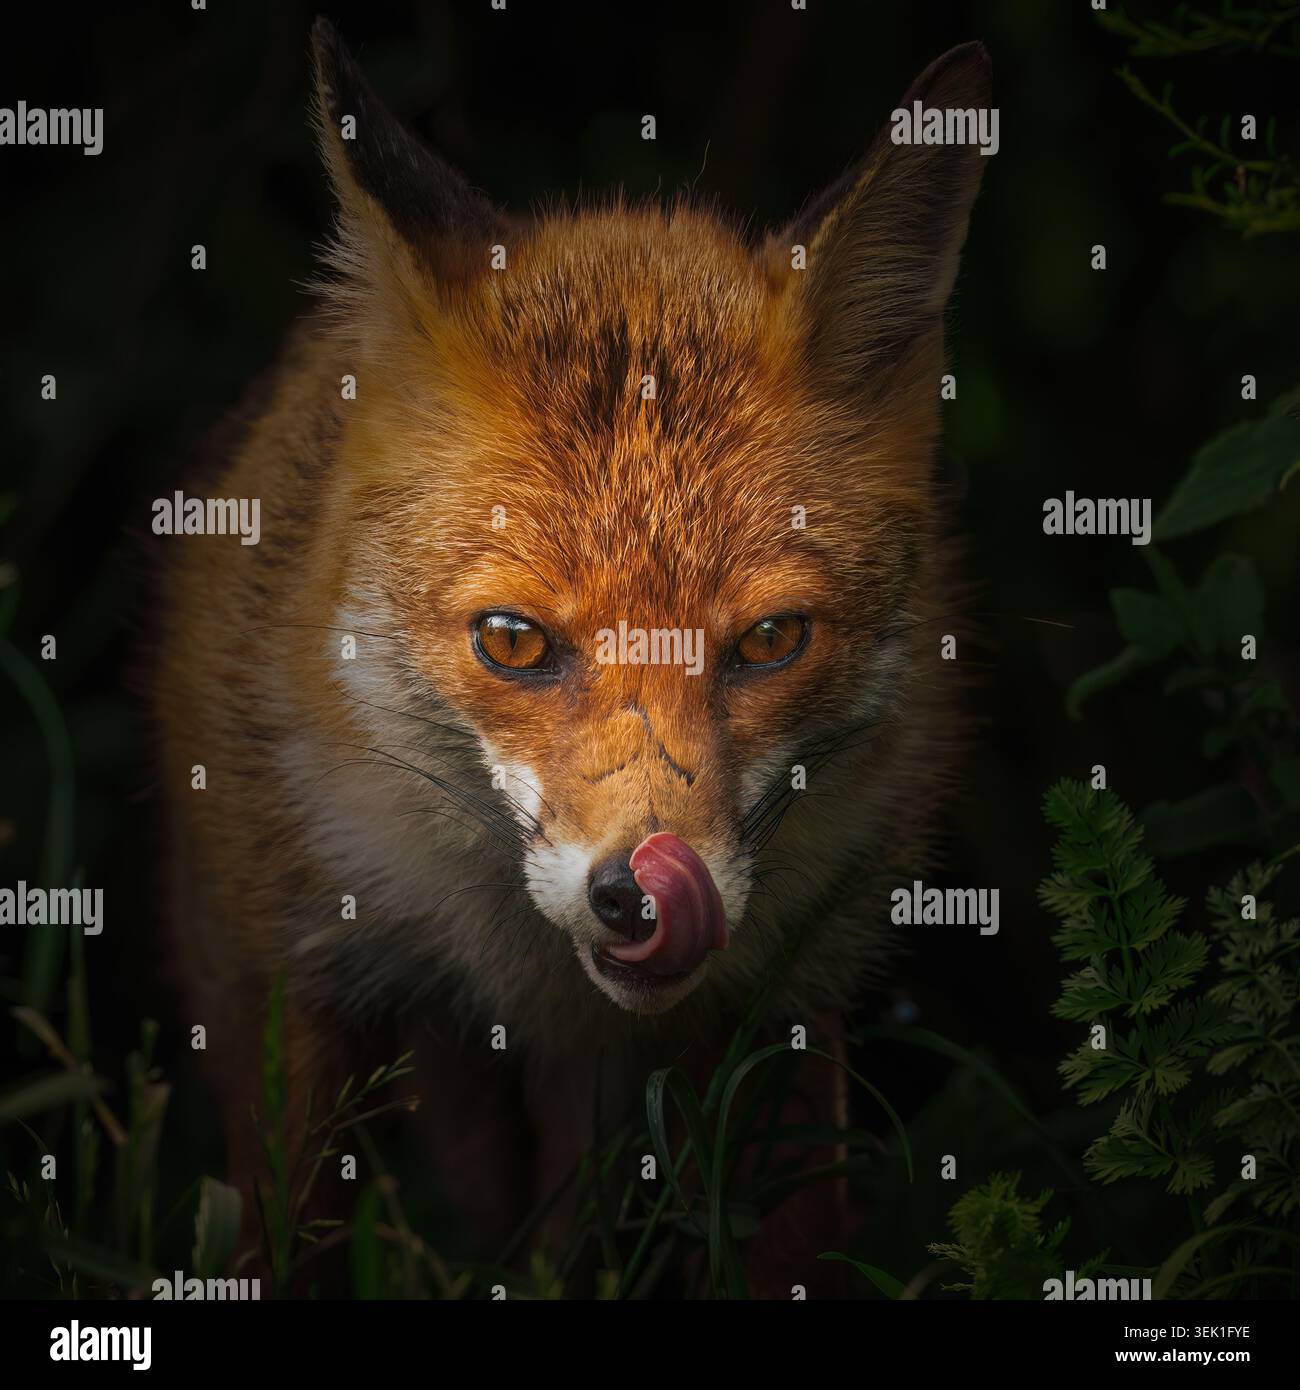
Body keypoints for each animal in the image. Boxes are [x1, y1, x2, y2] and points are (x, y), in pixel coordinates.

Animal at [152, 18, 990, 1291]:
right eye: (513, 641)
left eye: (769, 640)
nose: (638, 895)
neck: (526, 973)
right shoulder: (288, 972)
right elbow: (283, 1236)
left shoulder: (791, 1009)